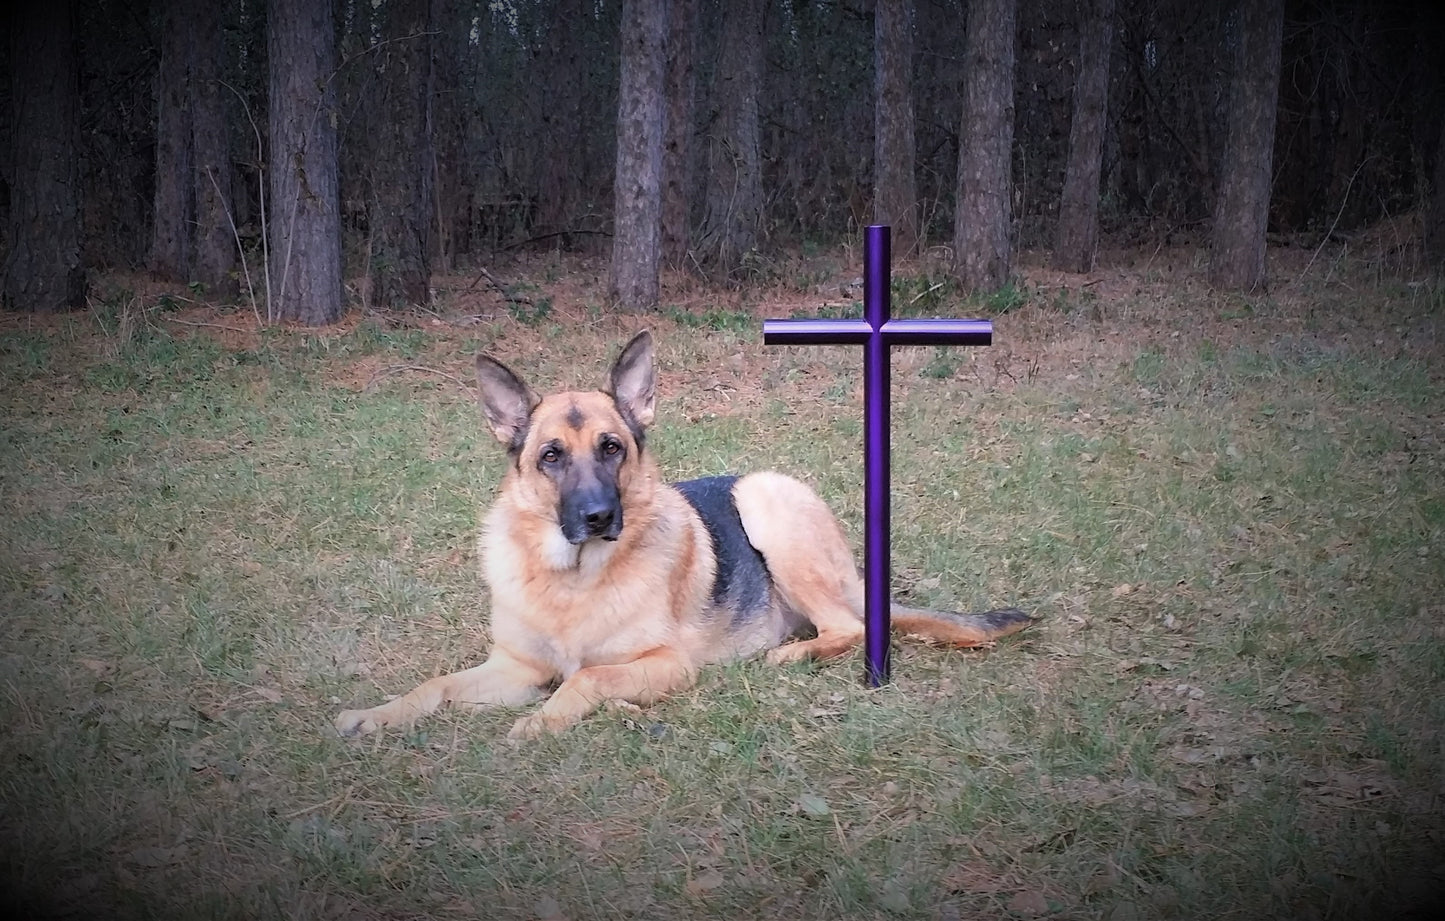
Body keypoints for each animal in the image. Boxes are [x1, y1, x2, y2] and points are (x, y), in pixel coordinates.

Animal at [332, 331, 1034, 740]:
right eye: (551, 457)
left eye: (612, 448)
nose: (598, 517)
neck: (572, 582)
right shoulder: (515, 667)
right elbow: (435, 686)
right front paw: (378, 714)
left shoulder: (665, 664)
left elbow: (586, 678)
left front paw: (542, 722)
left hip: (764, 500)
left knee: (850, 626)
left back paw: (791, 655)